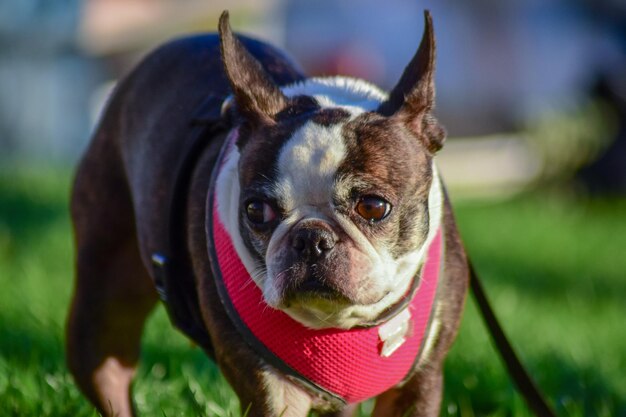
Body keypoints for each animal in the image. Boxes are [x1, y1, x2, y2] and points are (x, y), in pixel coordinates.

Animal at [68, 9, 468, 416]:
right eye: (256, 210)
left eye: (373, 207)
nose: (311, 238)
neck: (339, 323)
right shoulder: (272, 394)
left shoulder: (418, 386)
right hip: (104, 311)